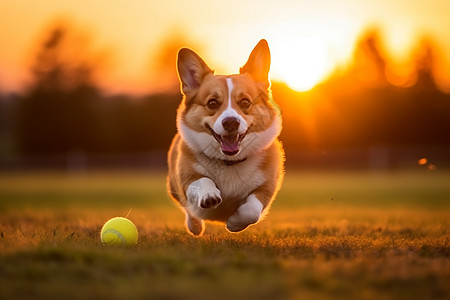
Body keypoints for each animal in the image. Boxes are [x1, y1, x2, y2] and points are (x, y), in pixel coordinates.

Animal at [165, 39, 284, 236]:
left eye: (245, 102)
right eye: (212, 103)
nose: (231, 122)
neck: (229, 162)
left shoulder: (266, 188)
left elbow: (251, 210)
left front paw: (234, 223)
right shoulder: (187, 179)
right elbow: (203, 181)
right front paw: (210, 196)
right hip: (173, 187)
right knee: (189, 211)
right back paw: (195, 227)